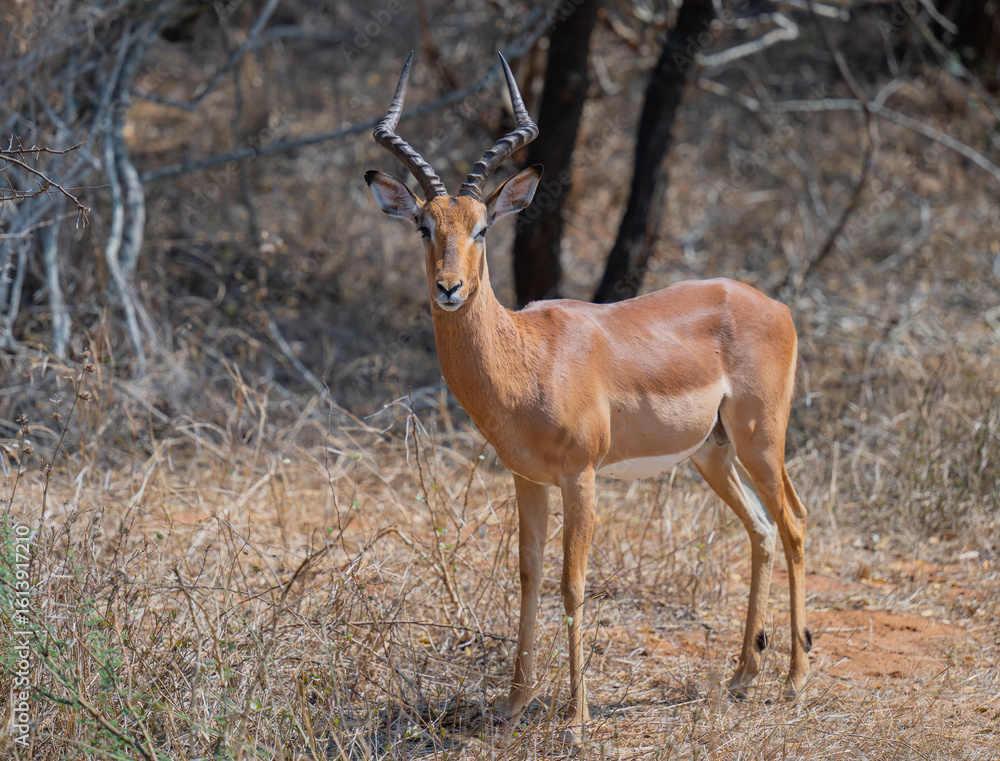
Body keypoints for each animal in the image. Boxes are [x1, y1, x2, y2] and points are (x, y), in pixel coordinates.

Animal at [365, 53, 810, 744]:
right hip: (712, 453)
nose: (449, 288)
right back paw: (742, 678)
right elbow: (528, 577)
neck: (529, 357)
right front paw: (513, 704)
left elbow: (573, 584)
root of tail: (775, 305)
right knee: (762, 530)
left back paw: (793, 679)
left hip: (761, 438)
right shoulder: (527, 478)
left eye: (483, 228)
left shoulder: (582, 477)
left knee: (793, 522)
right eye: (423, 225)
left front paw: (574, 719)